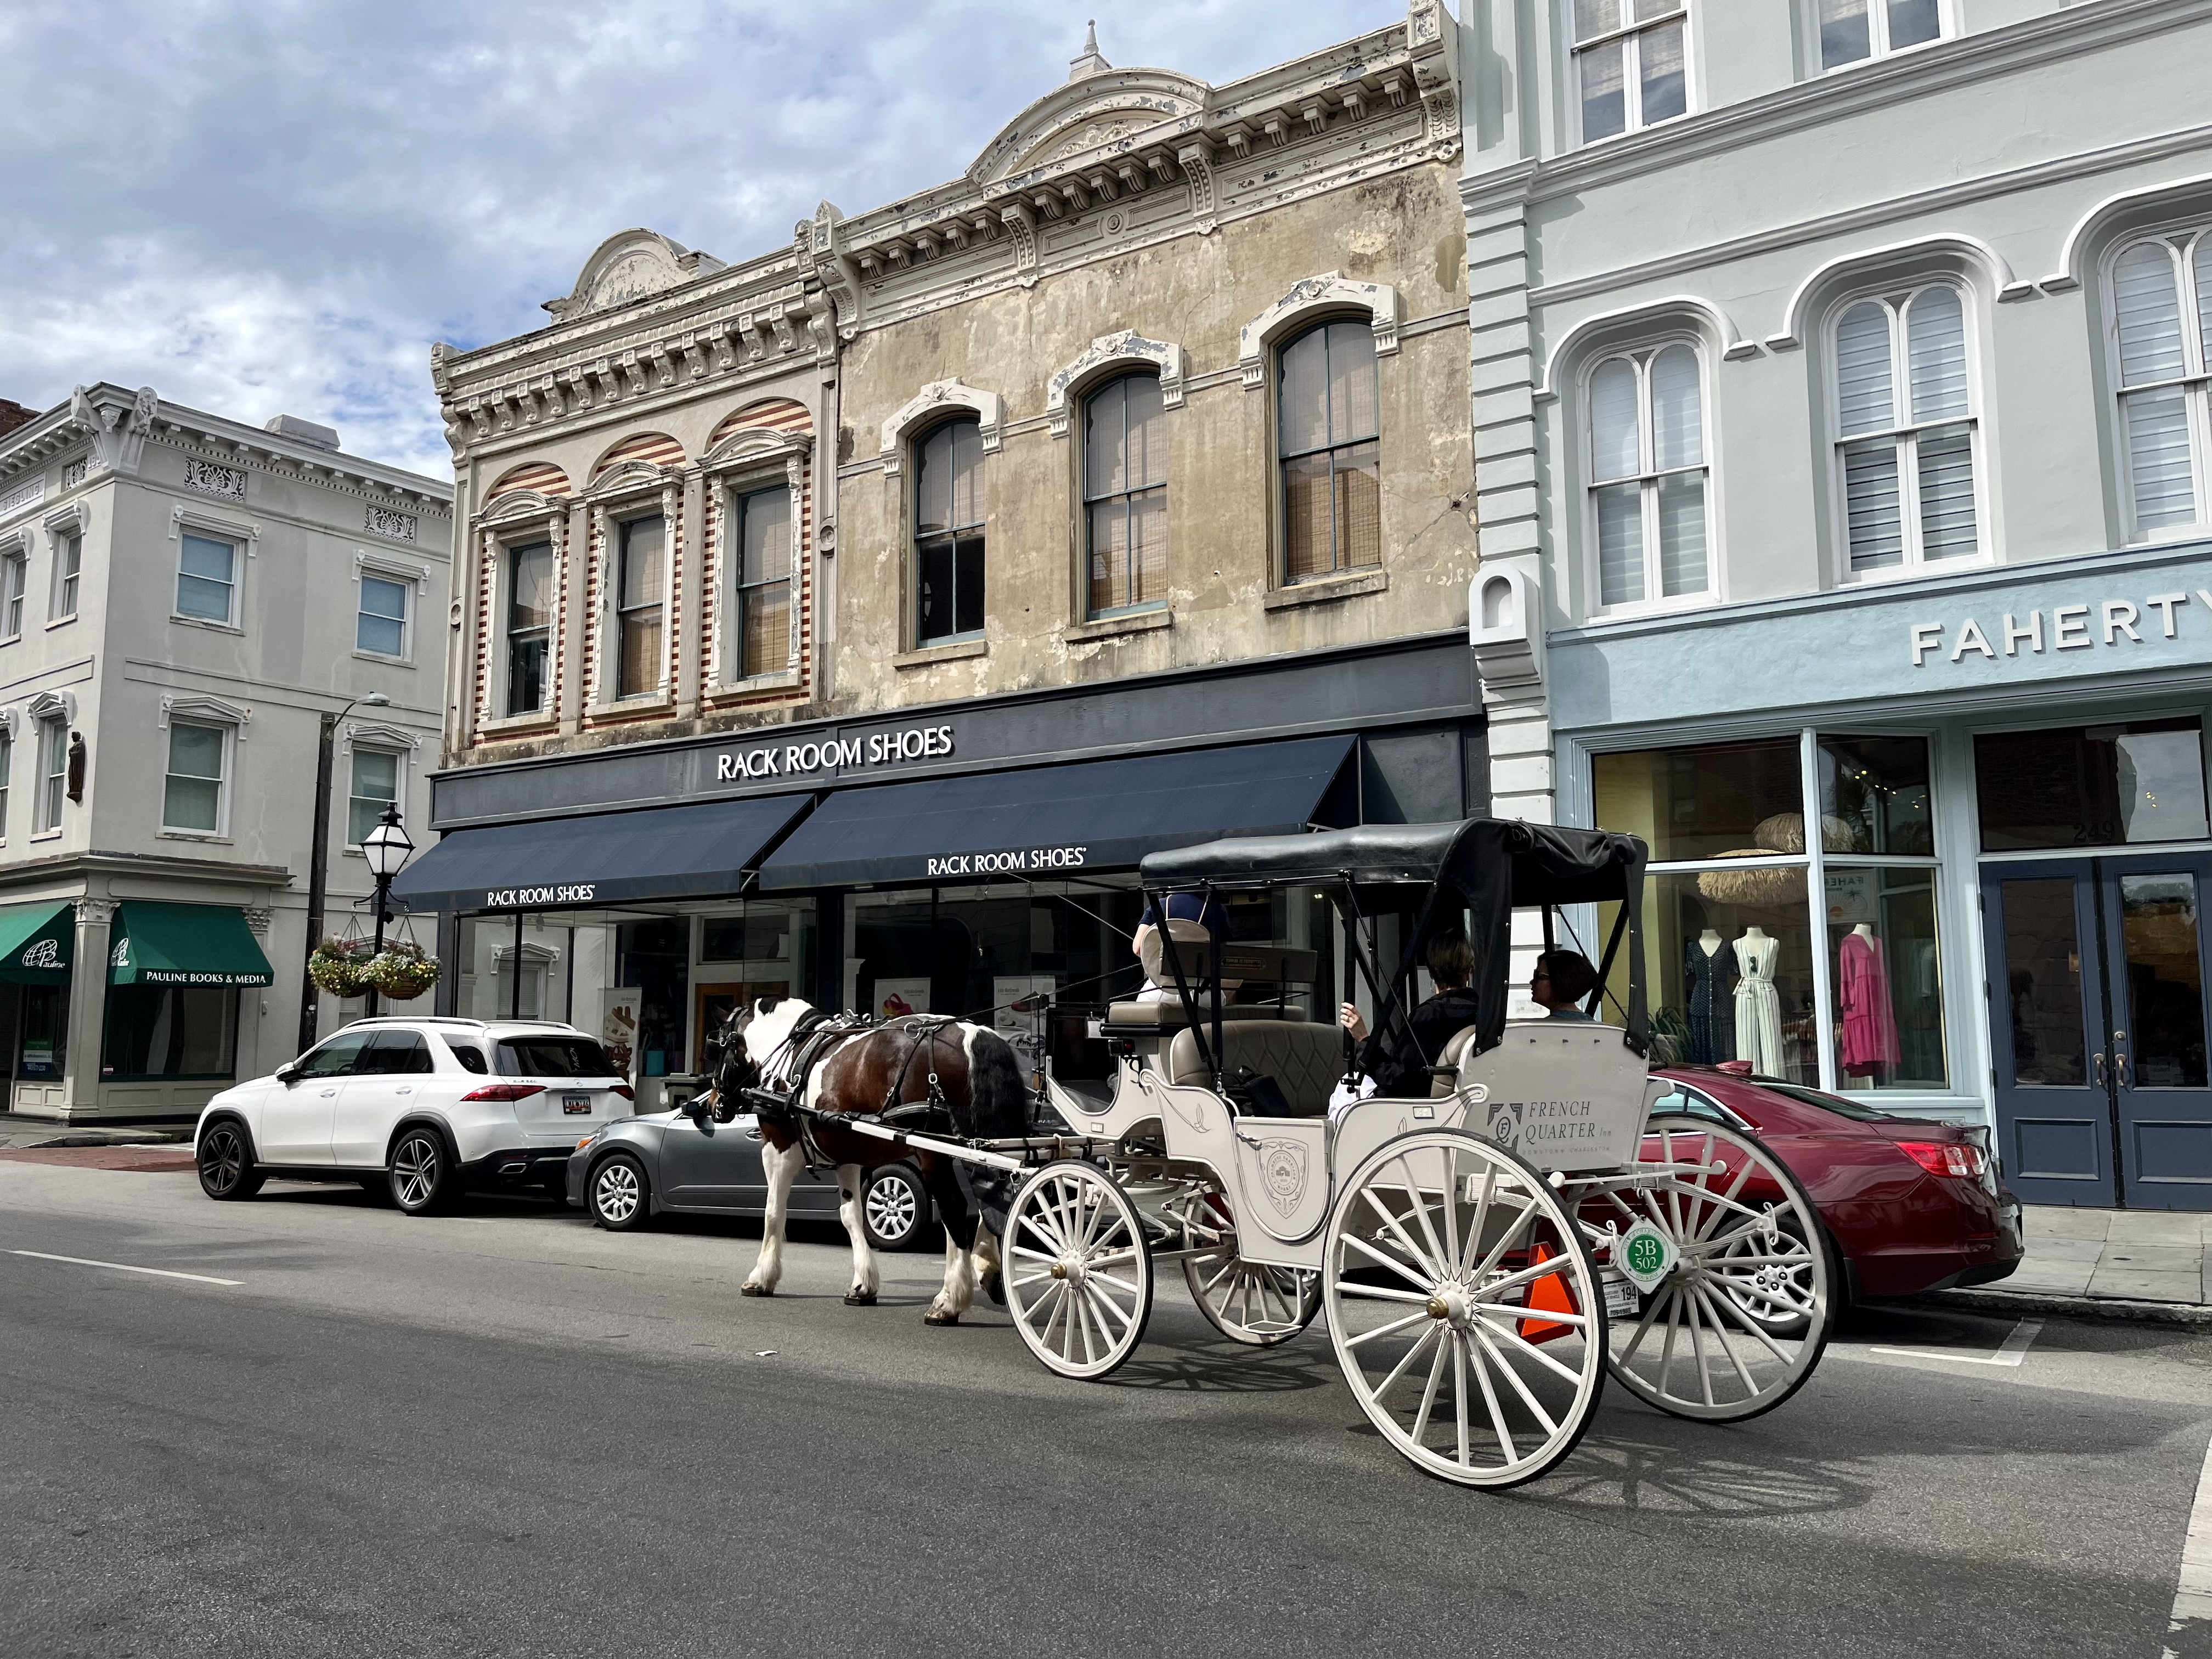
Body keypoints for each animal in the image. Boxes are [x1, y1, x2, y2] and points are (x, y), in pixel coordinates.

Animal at [703, 1000, 1030, 1327]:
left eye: (718, 1048)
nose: (712, 1104)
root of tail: (974, 1033)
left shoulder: (777, 1147)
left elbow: (773, 1212)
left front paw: (761, 1278)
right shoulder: (846, 1158)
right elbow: (851, 1215)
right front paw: (863, 1284)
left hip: (934, 1152)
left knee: (955, 1206)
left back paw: (949, 1300)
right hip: (986, 1144)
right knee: (995, 1197)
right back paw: (988, 1267)